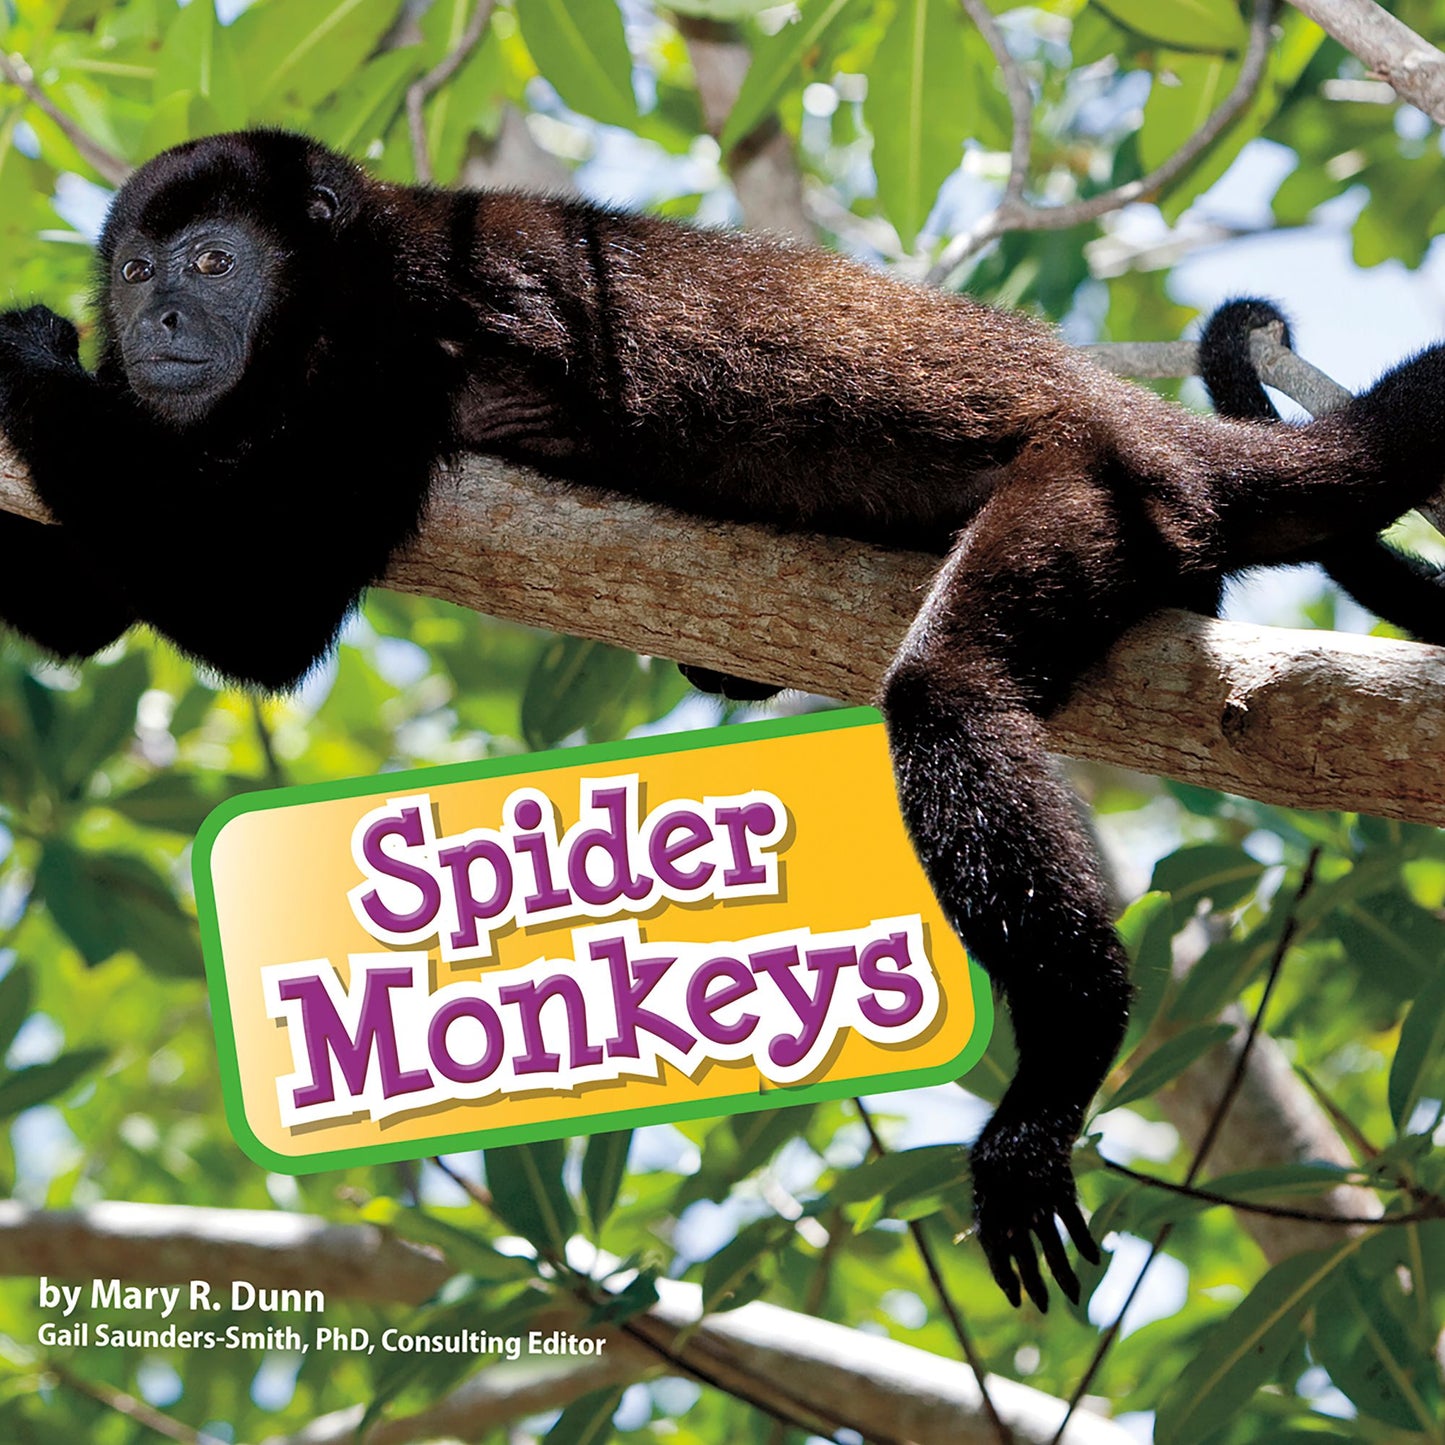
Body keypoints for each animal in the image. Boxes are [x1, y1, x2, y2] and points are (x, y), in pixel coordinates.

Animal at [2, 131, 1444, 1311]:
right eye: (134, 267)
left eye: (209, 259)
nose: (155, 315)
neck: (326, 287)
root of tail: (1149, 423)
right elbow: (106, 609)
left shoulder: (382, 350)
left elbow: (263, 607)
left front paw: (21, 355)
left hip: (1094, 483)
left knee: (949, 692)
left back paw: (1063, 1048)